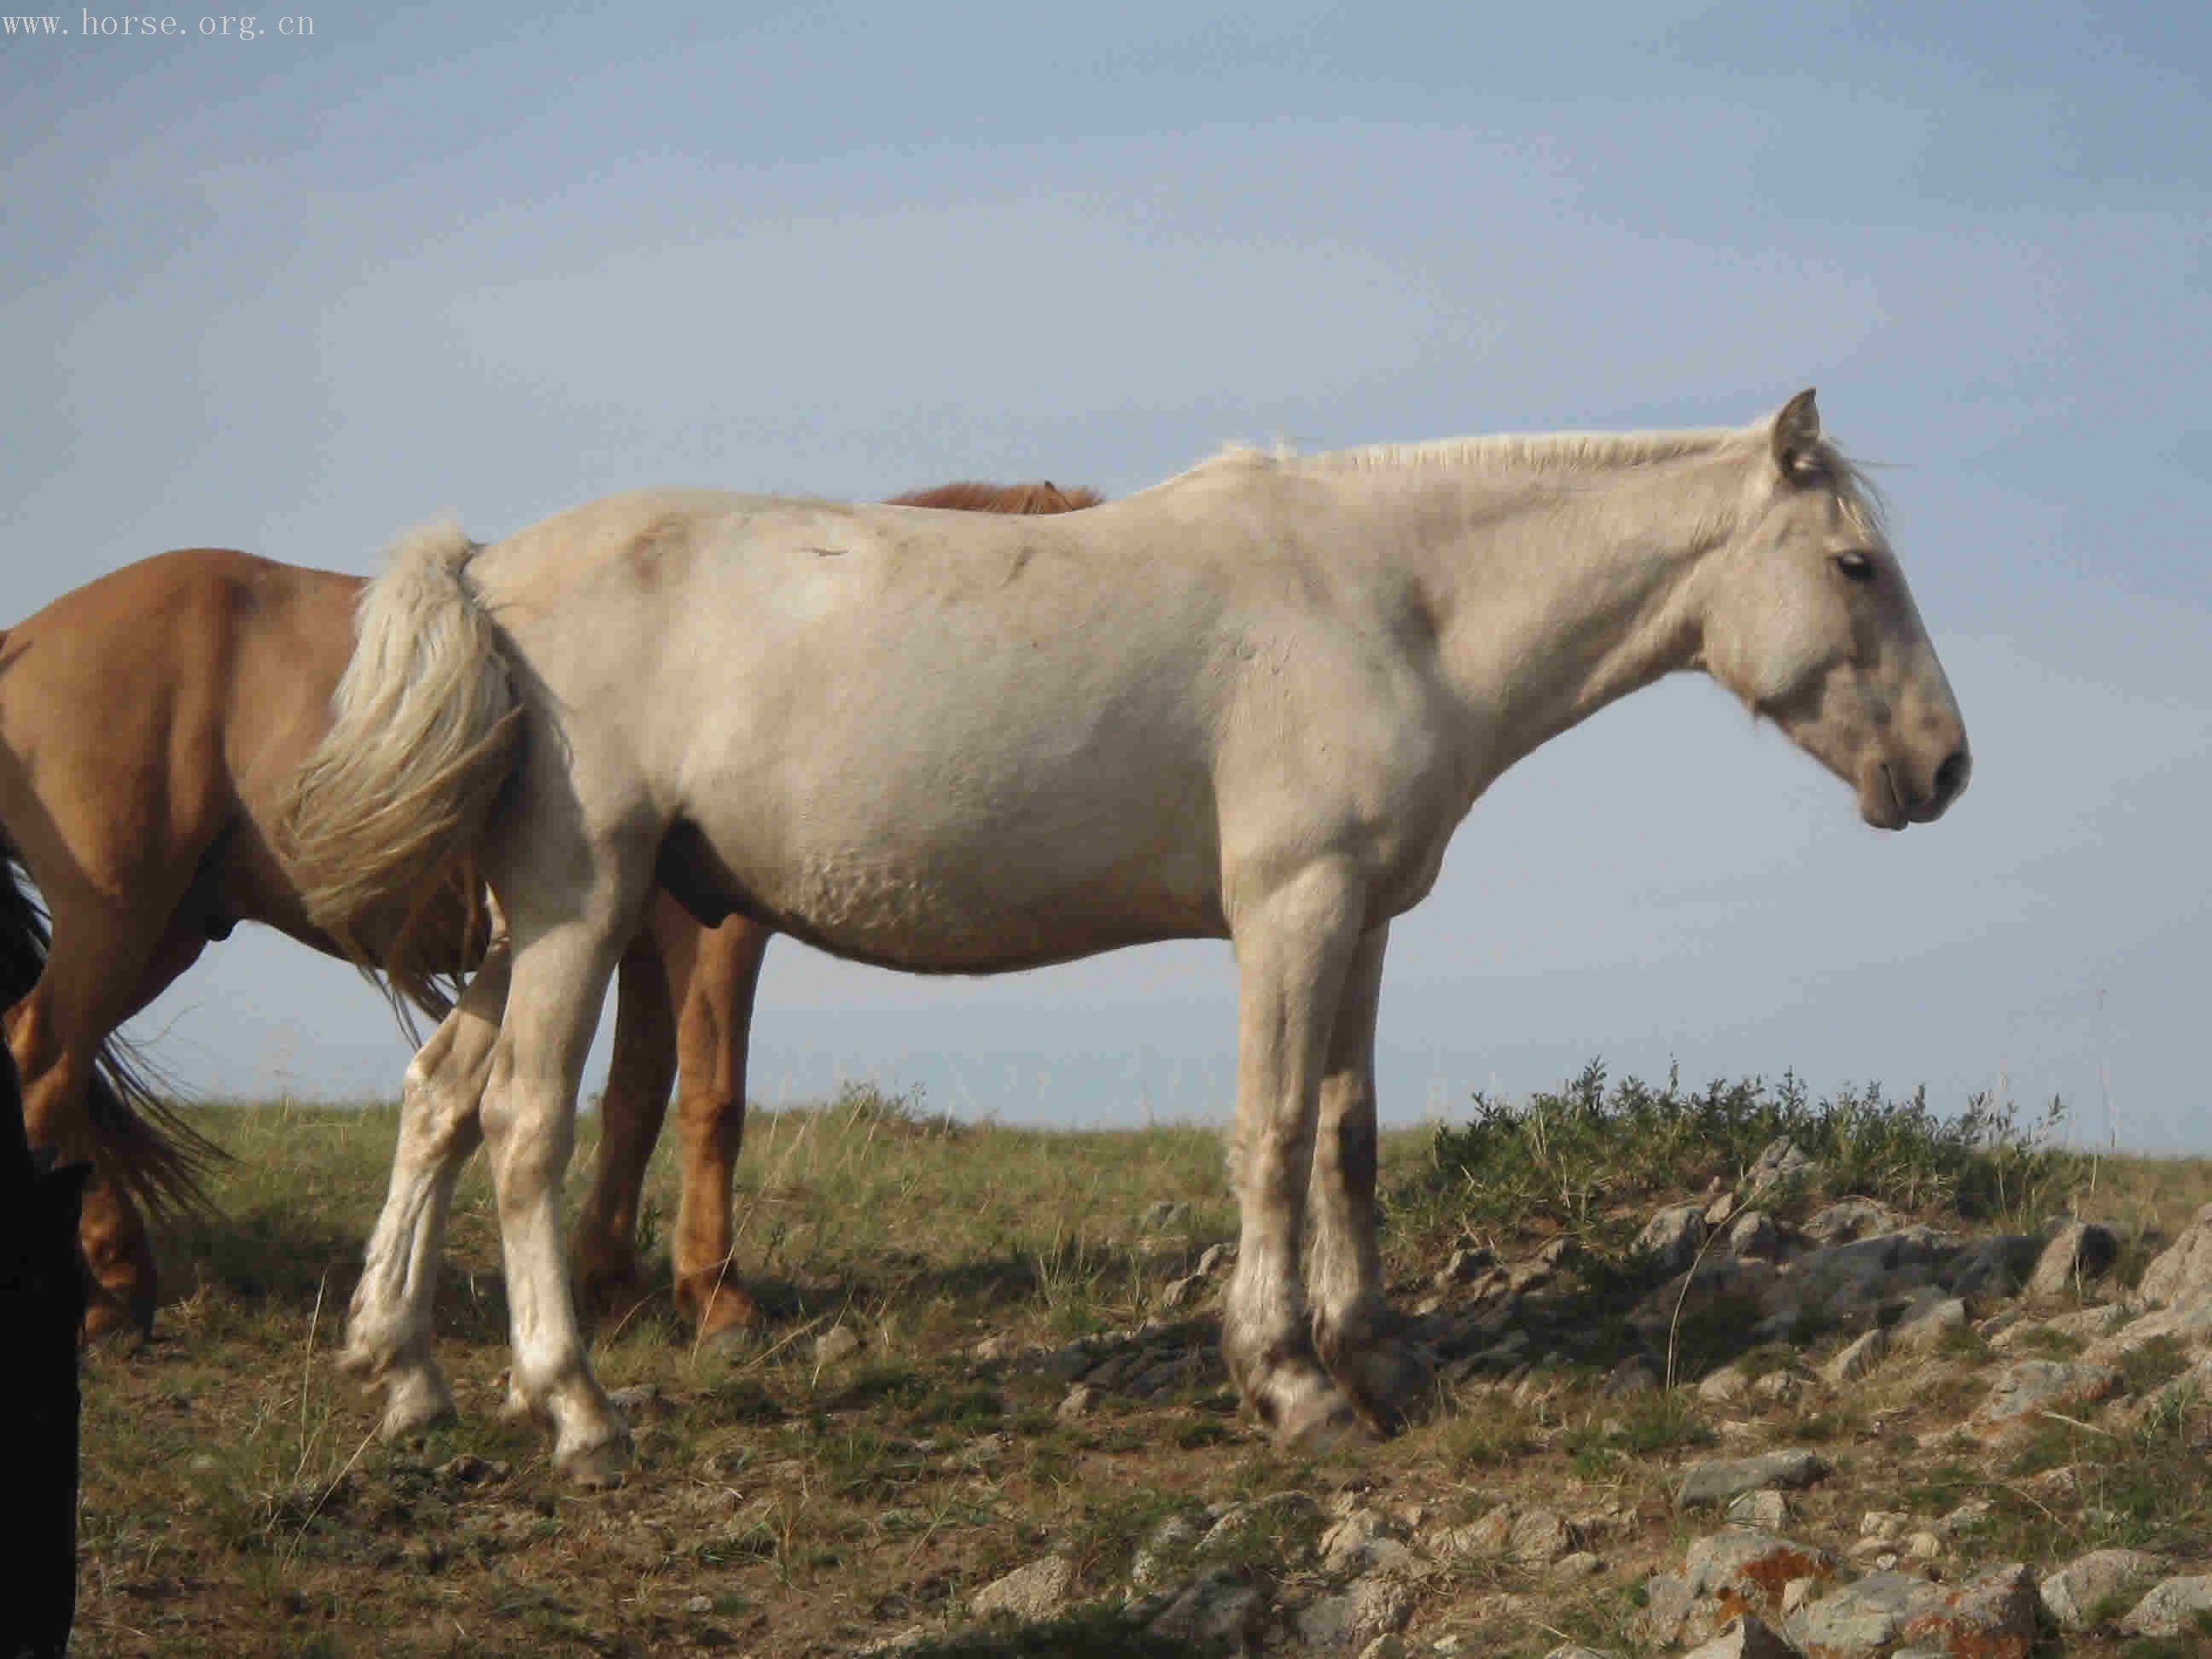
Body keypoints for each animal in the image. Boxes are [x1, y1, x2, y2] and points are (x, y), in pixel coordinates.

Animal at [0, 477, 1101, 1336]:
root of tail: (29, 638)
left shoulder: (647, 940)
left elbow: (638, 1095)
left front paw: (617, 1281)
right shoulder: (717, 936)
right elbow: (712, 1098)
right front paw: (717, 1296)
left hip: (168, 929)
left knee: (57, 1064)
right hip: (119, 918)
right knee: (46, 1059)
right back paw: (106, 1294)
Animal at [281, 395, 1973, 1486]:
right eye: (1856, 565)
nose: (1947, 767)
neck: (1391, 597)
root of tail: (488, 567)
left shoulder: (1362, 916)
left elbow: (1348, 1136)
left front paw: (1379, 1358)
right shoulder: (1290, 907)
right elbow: (1272, 1132)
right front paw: (1290, 1380)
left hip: (536, 924)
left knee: (438, 1098)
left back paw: (407, 1374)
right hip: (587, 903)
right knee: (518, 1124)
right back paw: (573, 1407)